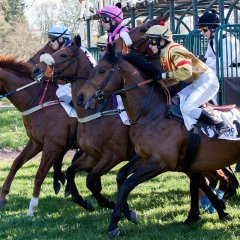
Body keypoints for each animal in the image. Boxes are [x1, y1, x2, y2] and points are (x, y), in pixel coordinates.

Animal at [0, 55, 79, 216]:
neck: (39, 102)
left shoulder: (53, 146)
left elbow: (39, 175)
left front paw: (32, 208)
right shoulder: (36, 142)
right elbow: (16, 163)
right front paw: (3, 197)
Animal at [77, 46, 240, 237]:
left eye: (101, 70)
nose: (80, 98)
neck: (152, 114)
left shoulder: (160, 162)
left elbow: (128, 184)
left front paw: (114, 224)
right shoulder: (144, 157)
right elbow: (121, 176)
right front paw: (127, 213)